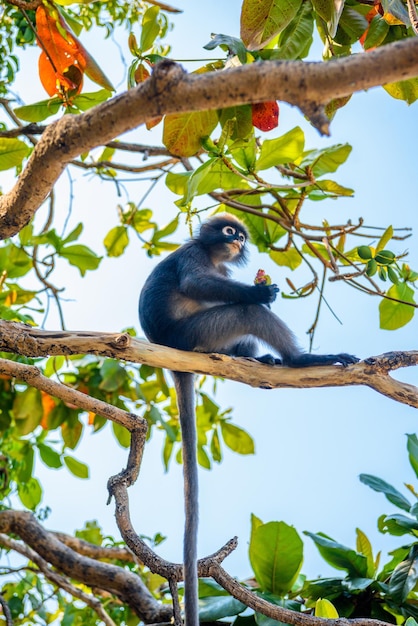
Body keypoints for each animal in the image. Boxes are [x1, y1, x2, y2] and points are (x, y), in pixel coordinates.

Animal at [139, 212, 358, 620]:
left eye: (240, 236)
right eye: (229, 232)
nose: (237, 240)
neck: (214, 256)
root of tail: (172, 354)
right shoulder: (193, 255)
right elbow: (195, 282)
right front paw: (260, 292)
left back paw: (261, 359)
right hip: (196, 334)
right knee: (247, 313)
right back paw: (299, 359)